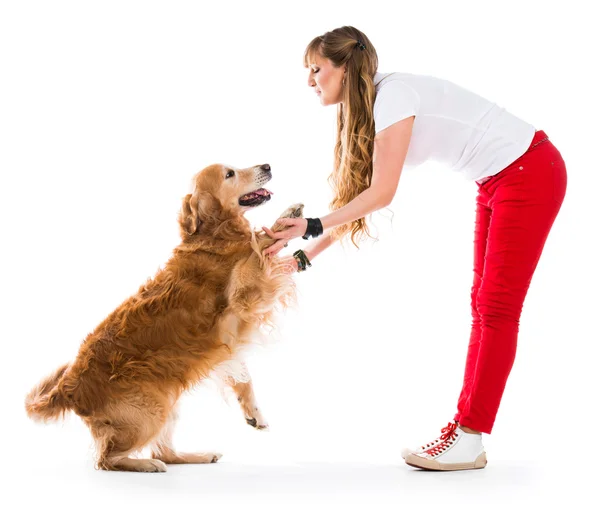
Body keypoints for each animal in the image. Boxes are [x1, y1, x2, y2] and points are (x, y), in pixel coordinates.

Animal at [25, 164, 302, 472]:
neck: (214, 234)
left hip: (168, 402)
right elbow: (259, 245)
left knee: (164, 452)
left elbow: (244, 377)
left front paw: (255, 414)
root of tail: (69, 387)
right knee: (107, 459)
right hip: (150, 411)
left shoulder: (229, 336)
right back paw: (145, 464)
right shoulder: (243, 295)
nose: (267, 166)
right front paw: (287, 218)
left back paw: (198, 456)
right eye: (230, 174)